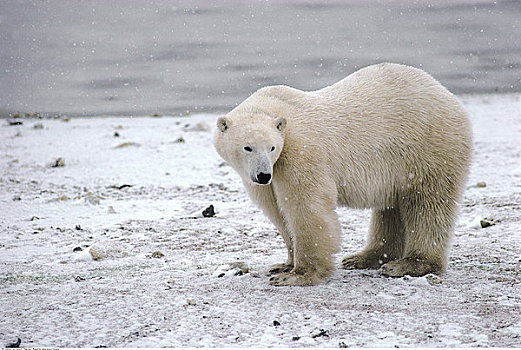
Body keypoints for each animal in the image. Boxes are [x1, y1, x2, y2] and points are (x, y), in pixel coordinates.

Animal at [211, 63, 472, 288]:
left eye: (272, 147)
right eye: (248, 147)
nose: (264, 175)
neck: (276, 107)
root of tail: (447, 94)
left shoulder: (301, 151)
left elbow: (306, 208)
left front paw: (298, 275)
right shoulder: (264, 177)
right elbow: (277, 212)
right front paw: (284, 265)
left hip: (429, 148)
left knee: (427, 203)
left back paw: (409, 264)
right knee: (392, 208)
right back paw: (365, 257)